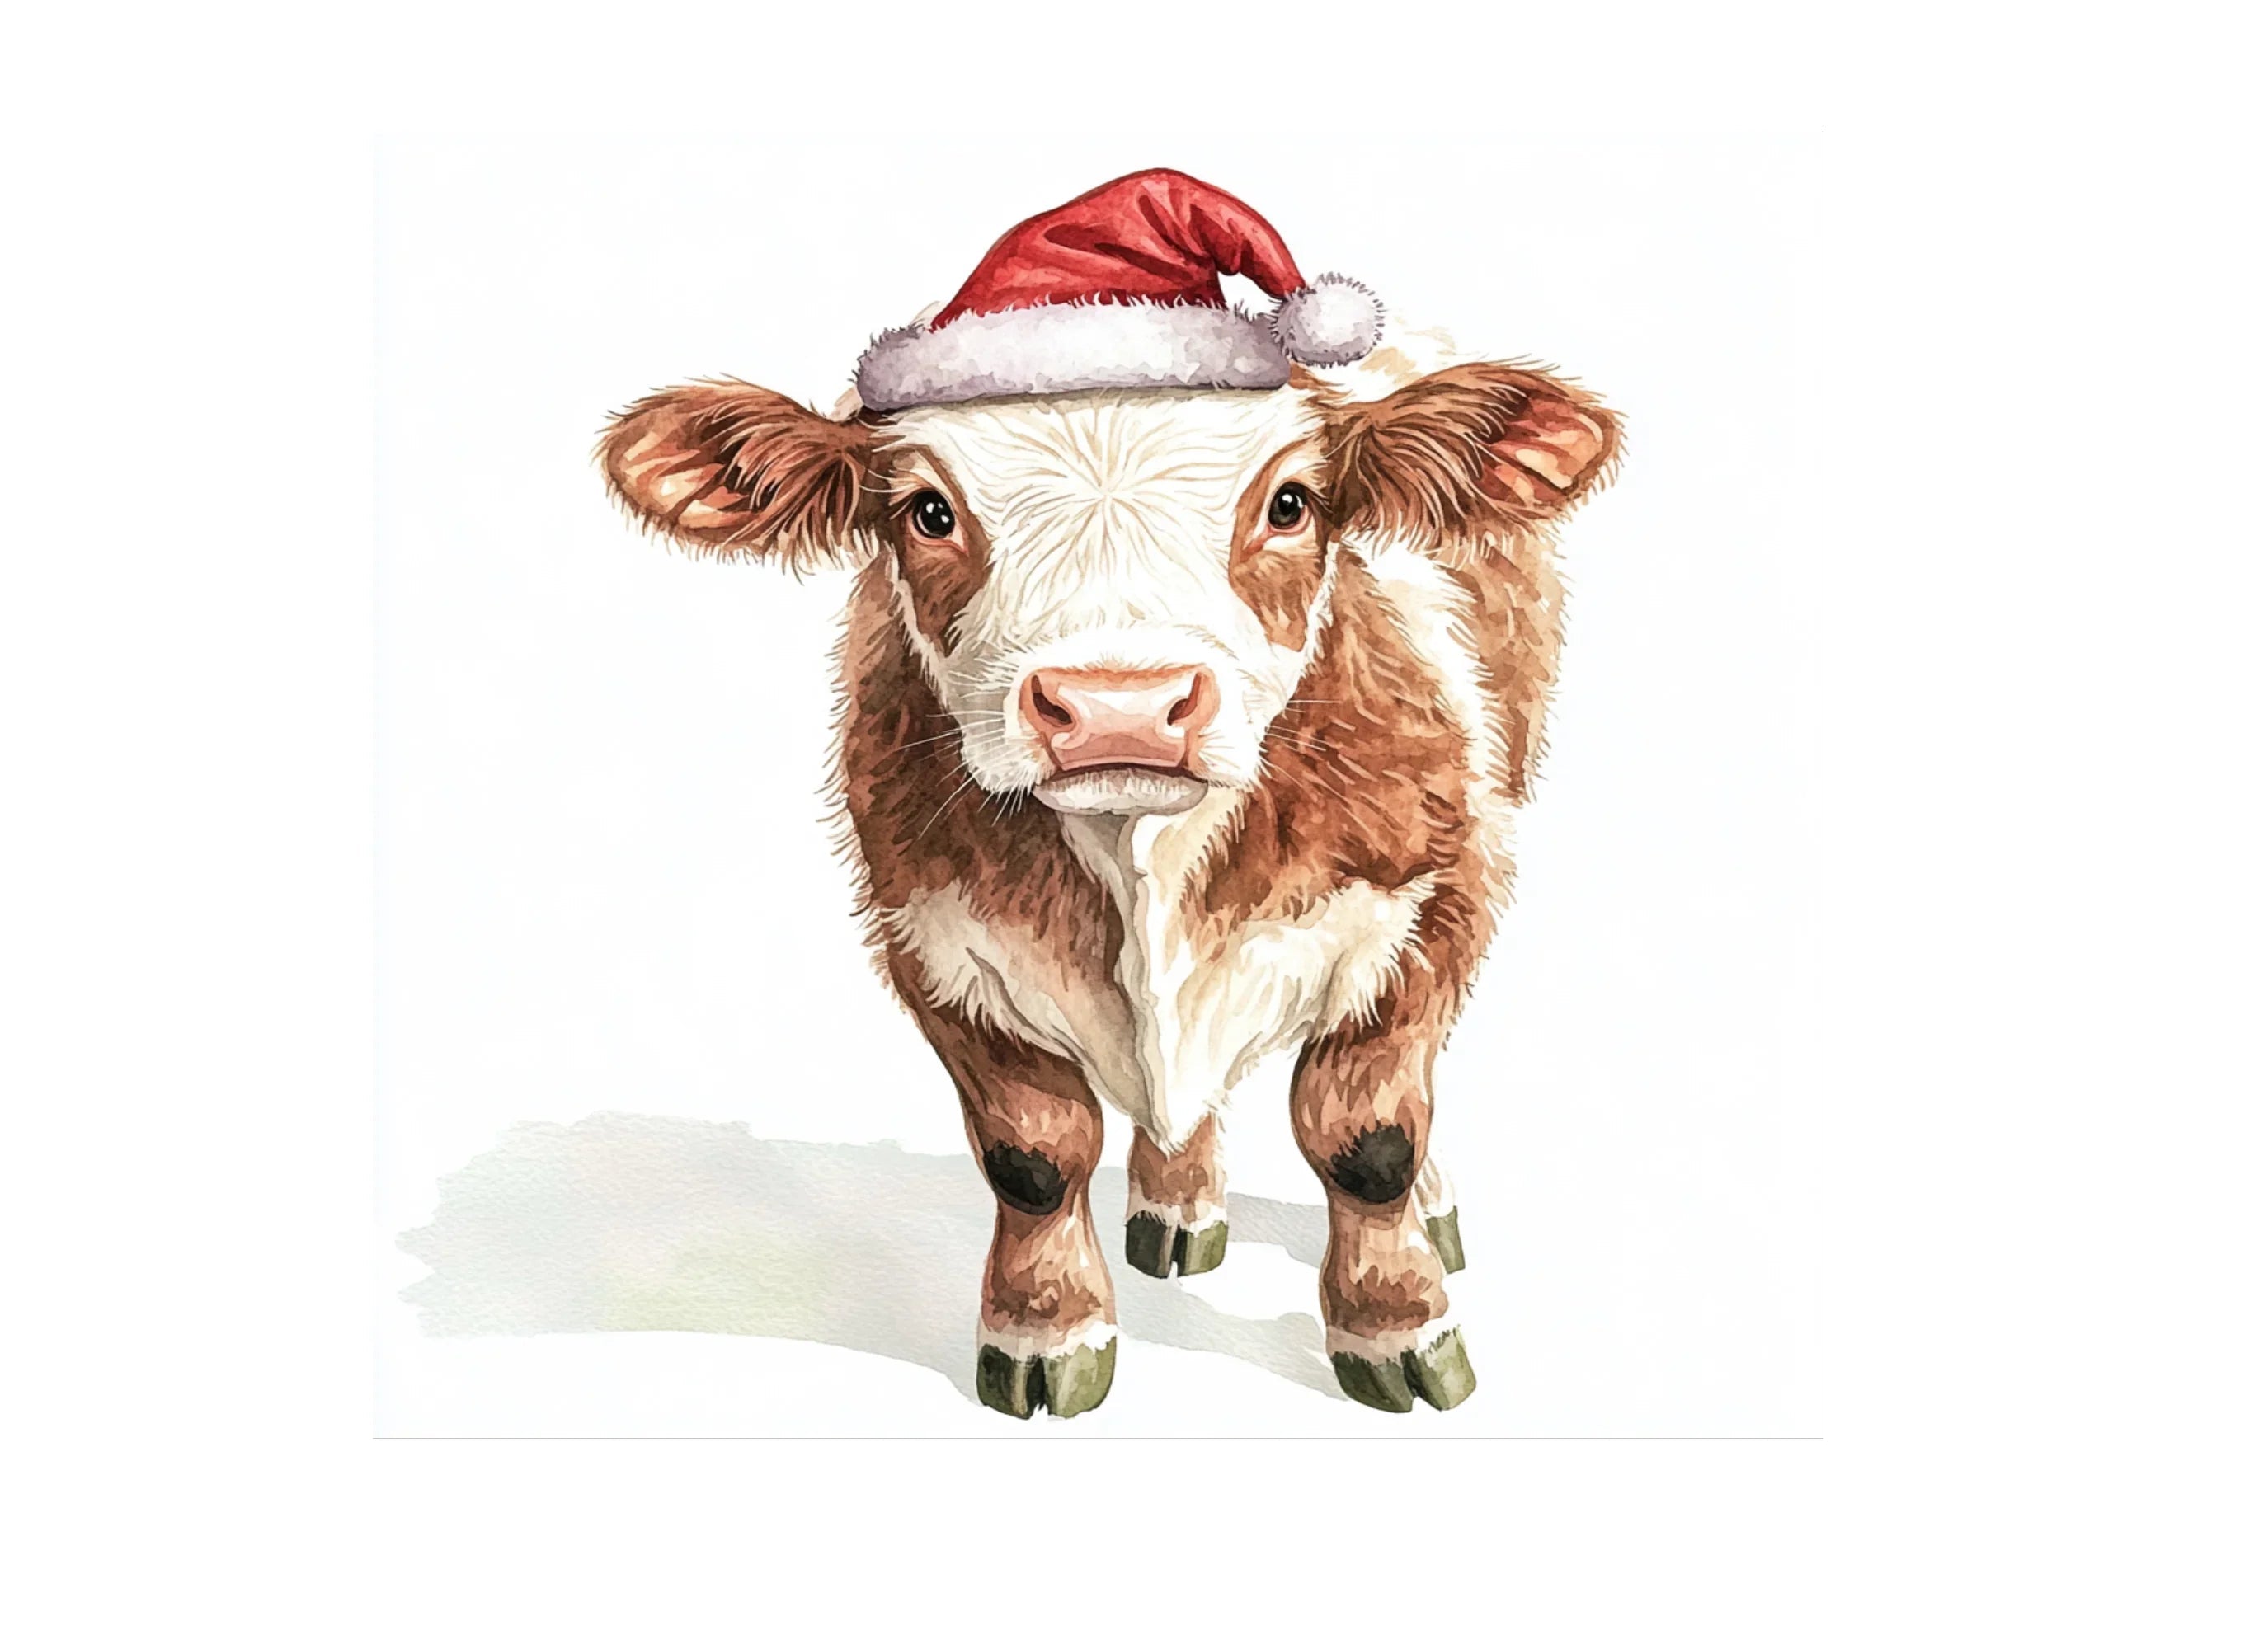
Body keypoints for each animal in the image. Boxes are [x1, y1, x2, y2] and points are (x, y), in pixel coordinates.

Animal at [598, 171, 1620, 1418]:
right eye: (927, 512)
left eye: (1289, 502)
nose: (1118, 706)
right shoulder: (929, 939)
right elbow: (1033, 1155)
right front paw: (1046, 1330)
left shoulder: (1440, 895)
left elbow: (1366, 1133)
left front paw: (1397, 1326)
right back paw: (1175, 1199)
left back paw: (1427, 1204)